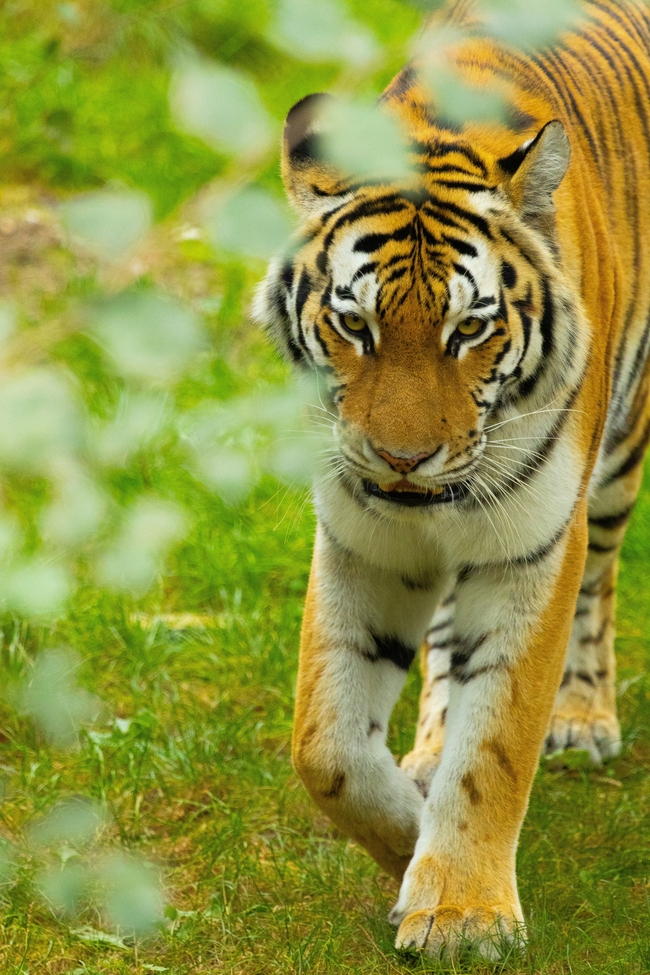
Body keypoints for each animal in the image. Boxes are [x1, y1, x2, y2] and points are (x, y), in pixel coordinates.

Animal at [255, 0, 650, 958]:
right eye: (353, 324)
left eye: (470, 329)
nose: (403, 459)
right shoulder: (361, 536)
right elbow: (326, 743)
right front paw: (410, 835)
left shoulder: (532, 545)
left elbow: (497, 740)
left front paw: (462, 912)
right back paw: (429, 747)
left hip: (618, 457)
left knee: (602, 577)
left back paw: (583, 715)